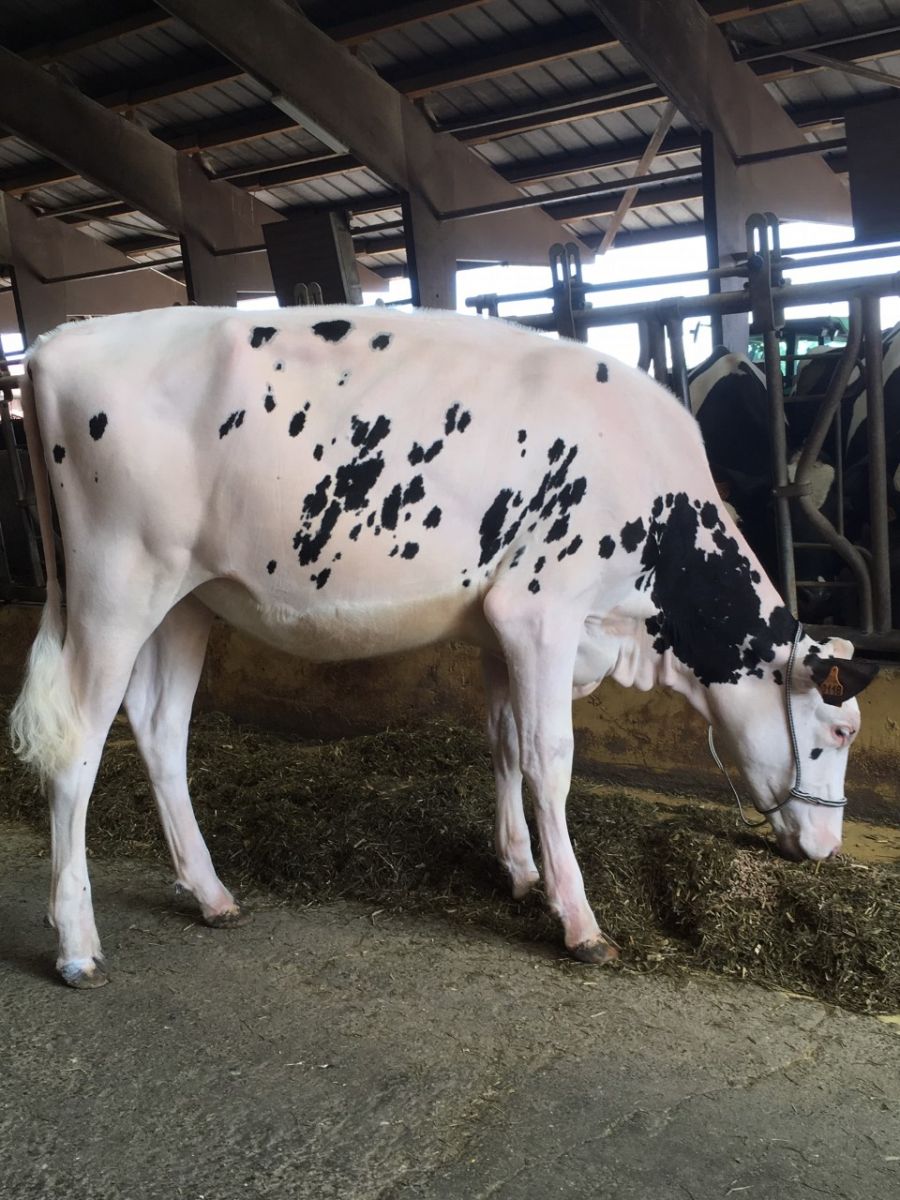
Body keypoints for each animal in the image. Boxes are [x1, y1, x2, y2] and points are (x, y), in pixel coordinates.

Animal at [9, 306, 877, 989]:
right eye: (839, 732)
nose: (829, 847)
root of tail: (59, 340)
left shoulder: (497, 625)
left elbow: (503, 741)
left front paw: (520, 870)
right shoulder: (541, 613)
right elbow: (550, 758)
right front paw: (579, 920)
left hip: (186, 598)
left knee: (160, 728)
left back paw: (210, 893)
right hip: (114, 589)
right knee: (77, 745)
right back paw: (78, 946)